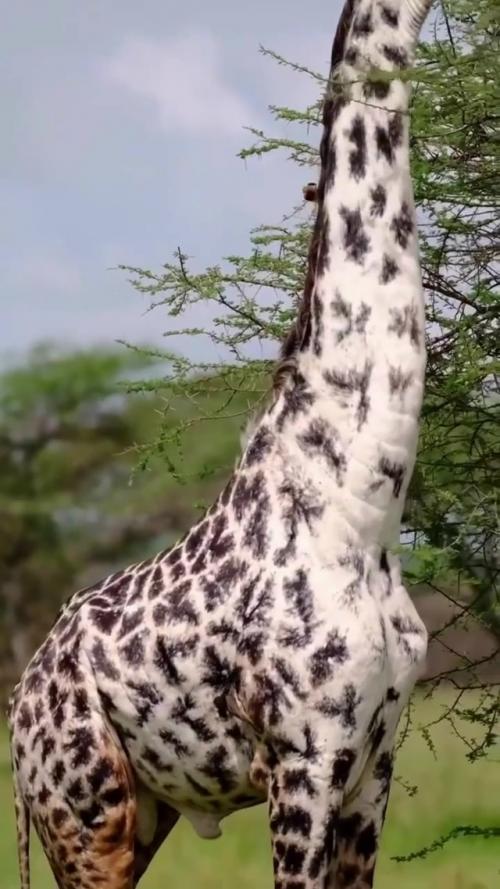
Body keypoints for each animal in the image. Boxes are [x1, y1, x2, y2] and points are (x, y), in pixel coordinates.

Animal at [8, 1, 432, 886]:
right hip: (85, 813)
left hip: (138, 815)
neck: (359, 506)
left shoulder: (376, 760)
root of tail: (19, 703)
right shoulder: (304, 754)